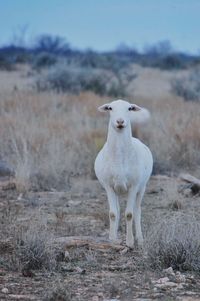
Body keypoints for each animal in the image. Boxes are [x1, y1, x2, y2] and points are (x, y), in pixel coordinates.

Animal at [94, 98, 152, 246]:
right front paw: (113, 240)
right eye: (110, 108)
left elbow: (129, 214)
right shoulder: (109, 187)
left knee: (137, 211)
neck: (119, 158)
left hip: (142, 188)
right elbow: (113, 213)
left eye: (130, 108)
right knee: (118, 211)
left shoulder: (133, 186)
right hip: (117, 191)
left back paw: (140, 239)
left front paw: (130, 242)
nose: (120, 121)